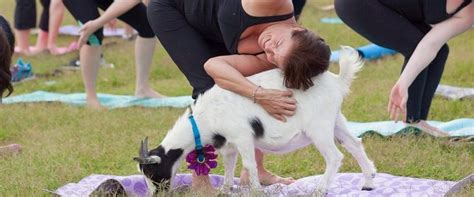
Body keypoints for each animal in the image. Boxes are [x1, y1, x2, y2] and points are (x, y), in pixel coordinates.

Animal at [135, 47, 376, 195]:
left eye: (152, 172)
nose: (157, 194)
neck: (205, 117)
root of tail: (338, 81)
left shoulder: (243, 136)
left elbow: (249, 164)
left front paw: (256, 190)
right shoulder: (228, 144)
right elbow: (229, 166)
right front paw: (225, 190)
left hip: (319, 127)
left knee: (335, 156)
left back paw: (320, 190)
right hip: (335, 120)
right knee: (355, 143)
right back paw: (368, 183)